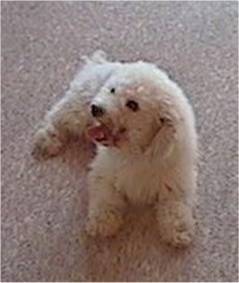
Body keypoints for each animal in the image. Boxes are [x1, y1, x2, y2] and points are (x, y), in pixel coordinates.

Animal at [33, 51, 198, 248]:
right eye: (112, 90)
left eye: (133, 104)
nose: (96, 108)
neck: (136, 153)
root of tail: (99, 64)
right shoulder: (103, 173)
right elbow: (106, 198)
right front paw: (102, 223)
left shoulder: (177, 182)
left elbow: (176, 208)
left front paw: (179, 231)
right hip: (78, 111)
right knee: (56, 116)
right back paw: (47, 139)